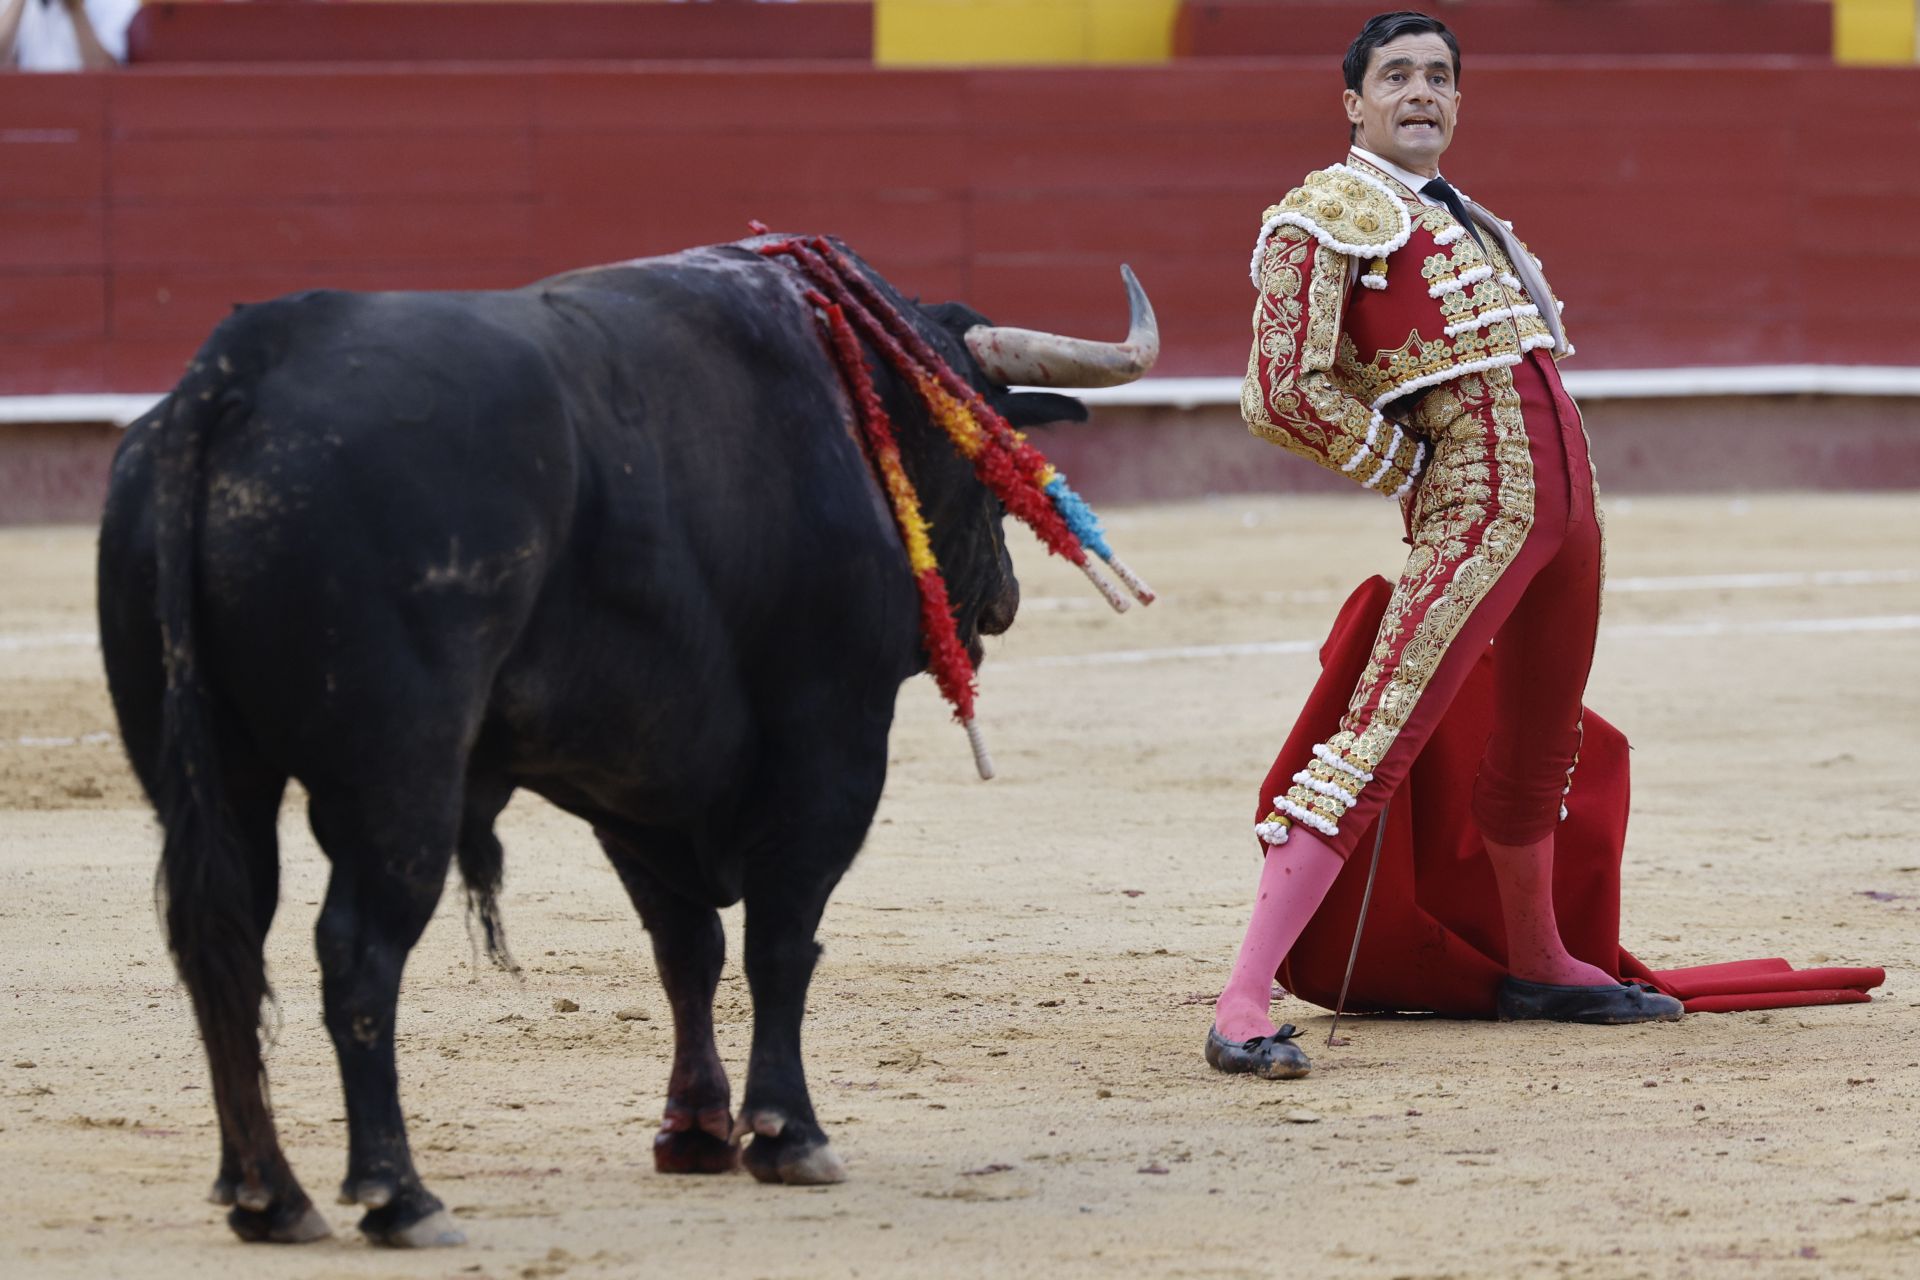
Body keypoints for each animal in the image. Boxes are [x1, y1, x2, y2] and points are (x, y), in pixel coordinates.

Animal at [93, 239, 1152, 1251]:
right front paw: (790, 1134)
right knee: (356, 950)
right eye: (984, 461)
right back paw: (400, 1196)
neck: (853, 404)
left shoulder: (634, 780)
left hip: (213, 778)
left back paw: (269, 1197)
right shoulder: (833, 744)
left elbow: (687, 948)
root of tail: (239, 371)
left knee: (222, 945)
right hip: (399, 779)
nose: (1003, 600)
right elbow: (781, 936)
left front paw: (696, 1131)